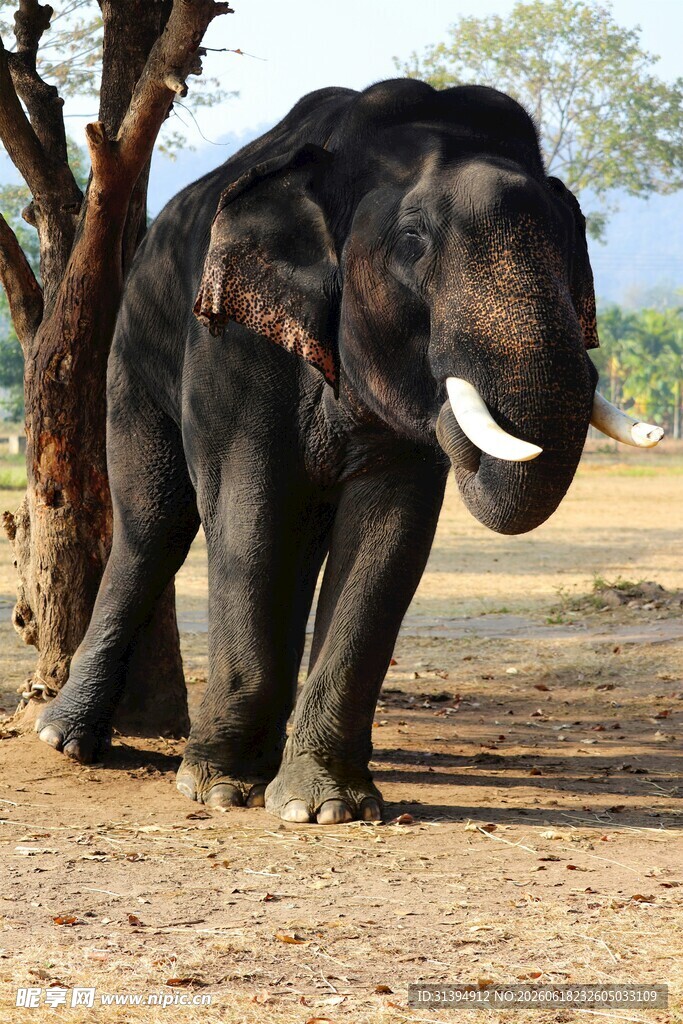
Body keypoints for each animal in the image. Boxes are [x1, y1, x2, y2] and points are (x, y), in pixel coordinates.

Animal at [35, 78, 663, 824]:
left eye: (570, 239)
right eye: (413, 240)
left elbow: (389, 529)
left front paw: (324, 807)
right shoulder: (231, 342)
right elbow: (247, 508)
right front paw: (219, 788)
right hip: (133, 350)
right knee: (155, 523)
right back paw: (65, 739)